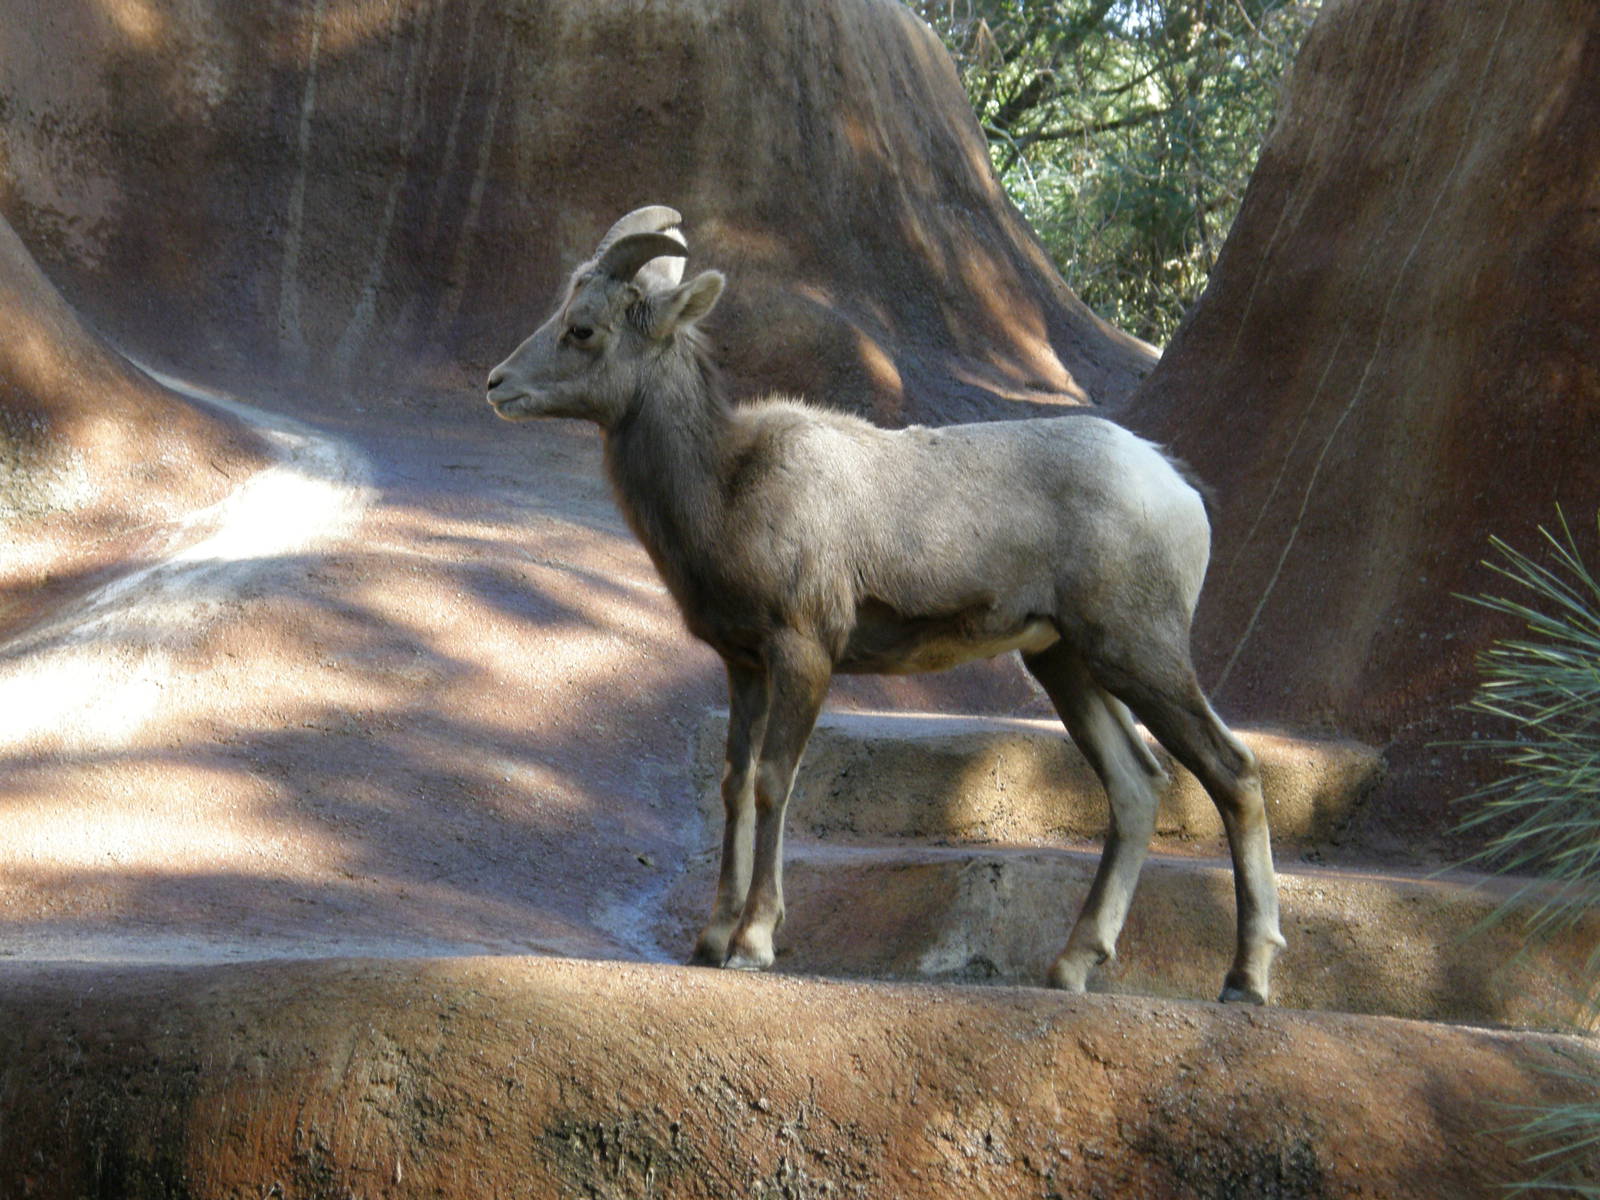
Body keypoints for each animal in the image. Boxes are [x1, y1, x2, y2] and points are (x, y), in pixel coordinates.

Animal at [486, 206, 1285, 1004]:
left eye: (583, 328)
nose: (496, 383)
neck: (728, 484)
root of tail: (1177, 489)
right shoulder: (744, 666)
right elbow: (735, 787)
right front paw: (709, 940)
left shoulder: (804, 650)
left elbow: (775, 783)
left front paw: (752, 942)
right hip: (1066, 663)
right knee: (1137, 786)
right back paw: (1070, 967)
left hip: (1139, 651)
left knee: (1234, 772)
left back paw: (1245, 980)